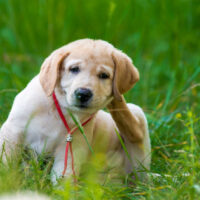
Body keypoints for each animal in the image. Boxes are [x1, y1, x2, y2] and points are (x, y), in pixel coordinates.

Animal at [0, 38, 150, 184]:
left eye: (104, 75)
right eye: (74, 69)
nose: (83, 93)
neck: (61, 109)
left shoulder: (72, 148)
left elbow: (64, 179)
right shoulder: (13, 131)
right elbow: (7, 161)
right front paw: (6, 181)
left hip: (137, 128)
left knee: (134, 132)